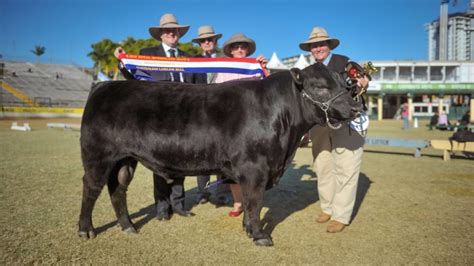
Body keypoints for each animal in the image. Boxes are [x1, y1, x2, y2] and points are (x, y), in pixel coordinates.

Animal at [78, 62, 362, 245]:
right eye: (321, 87)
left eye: (345, 85)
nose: (357, 108)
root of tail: (104, 86)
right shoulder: (255, 169)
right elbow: (254, 202)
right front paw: (260, 236)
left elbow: (248, 203)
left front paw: (248, 228)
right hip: (98, 156)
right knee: (91, 189)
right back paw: (85, 230)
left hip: (124, 160)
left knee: (118, 189)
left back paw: (128, 227)